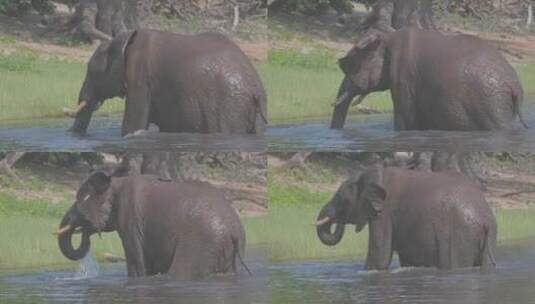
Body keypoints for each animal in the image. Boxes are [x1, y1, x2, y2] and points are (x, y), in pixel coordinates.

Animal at [56, 172, 249, 280]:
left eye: (80, 200)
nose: (84, 229)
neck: (115, 182)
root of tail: (235, 230)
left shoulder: (130, 219)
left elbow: (136, 266)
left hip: (203, 241)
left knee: (181, 272)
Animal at [65, 29, 268, 136]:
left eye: (93, 71)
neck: (123, 40)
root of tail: (255, 88)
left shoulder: (140, 76)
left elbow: (133, 125)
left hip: (227, 106)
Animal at [316, 164, 496, 270]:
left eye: (343, 200)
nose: (338, 219)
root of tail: (485, 219)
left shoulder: (384, 214)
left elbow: (379, 258)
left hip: (458, 235)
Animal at [332, 26, 528, 131]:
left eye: (351, 66)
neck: (388, 37)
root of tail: (514, 84)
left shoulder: (404, 79)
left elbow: (405, 122)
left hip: (491, 103)